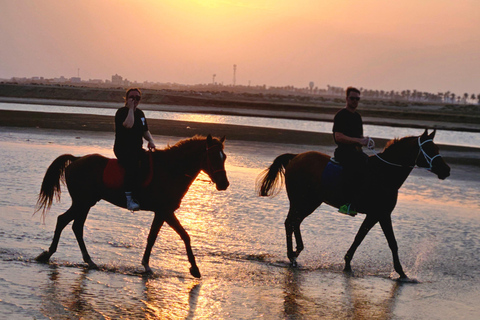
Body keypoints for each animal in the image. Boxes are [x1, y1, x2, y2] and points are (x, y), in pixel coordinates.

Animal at [34, 134, 229, 278]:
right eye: (213, 156)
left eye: (224, 157)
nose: (224, 184)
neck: (172, 170)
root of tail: (76, 159)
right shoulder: (165, 211)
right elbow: (184, 236)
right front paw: (194, 268)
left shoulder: (161, 213)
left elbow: (153, 237)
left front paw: (147, 266)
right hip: (83, 202)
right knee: (65, 221)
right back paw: (50, 255)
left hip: (85, 203)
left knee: (74, 225)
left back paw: (86, 260)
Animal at [258, 129, 450, 278]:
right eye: (429, 149)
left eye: (437, 148)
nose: (446, 170)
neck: (384, 174)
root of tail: (296, 156)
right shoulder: (380, 214)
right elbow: (382, 241)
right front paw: (400, 272)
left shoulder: (378, 215)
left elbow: (367, 239)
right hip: (302, 200)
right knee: (290, 222)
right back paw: (292, 255)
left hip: (310, 202)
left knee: (294, 222)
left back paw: (296, 253)